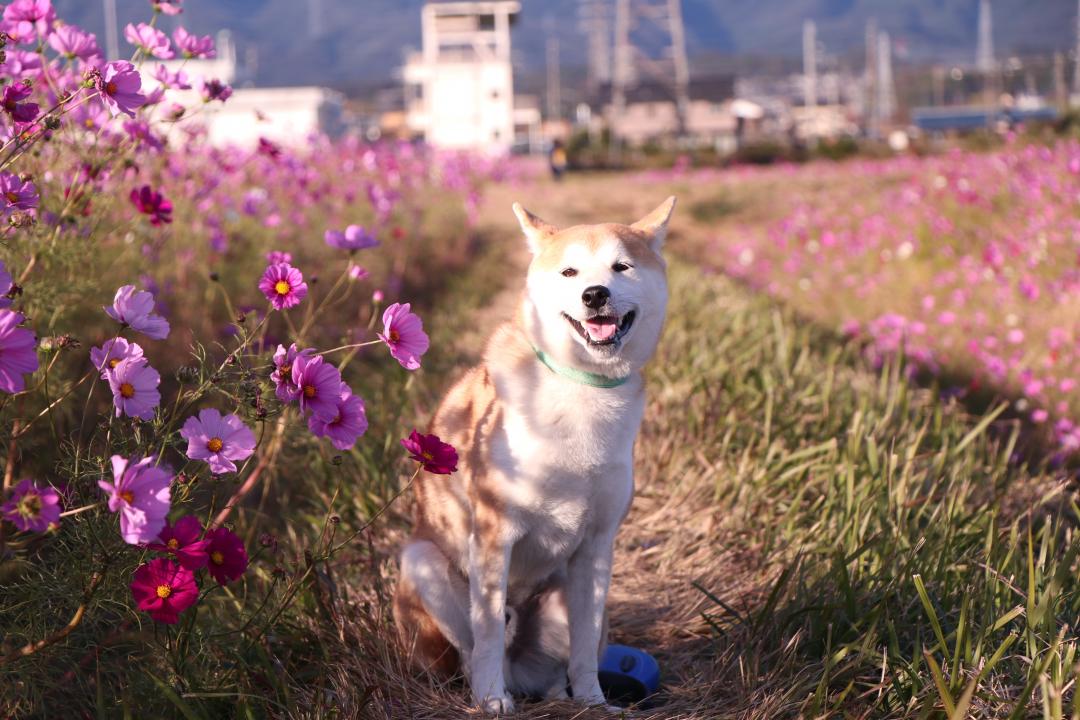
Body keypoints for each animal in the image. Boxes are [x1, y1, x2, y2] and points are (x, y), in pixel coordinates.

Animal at [393, 194, 669, 712]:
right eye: (569, 272)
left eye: (621, 266)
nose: (595, 295)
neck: (582, 386)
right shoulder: (494, 534)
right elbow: (484, 633)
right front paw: (491, 702)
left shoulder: (597, 548)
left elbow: (585, 645)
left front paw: (594, 702)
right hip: (422, 561)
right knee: (476, 650)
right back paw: (491, 689)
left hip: (559, 600)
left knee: (555, 670)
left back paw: (562, 694)